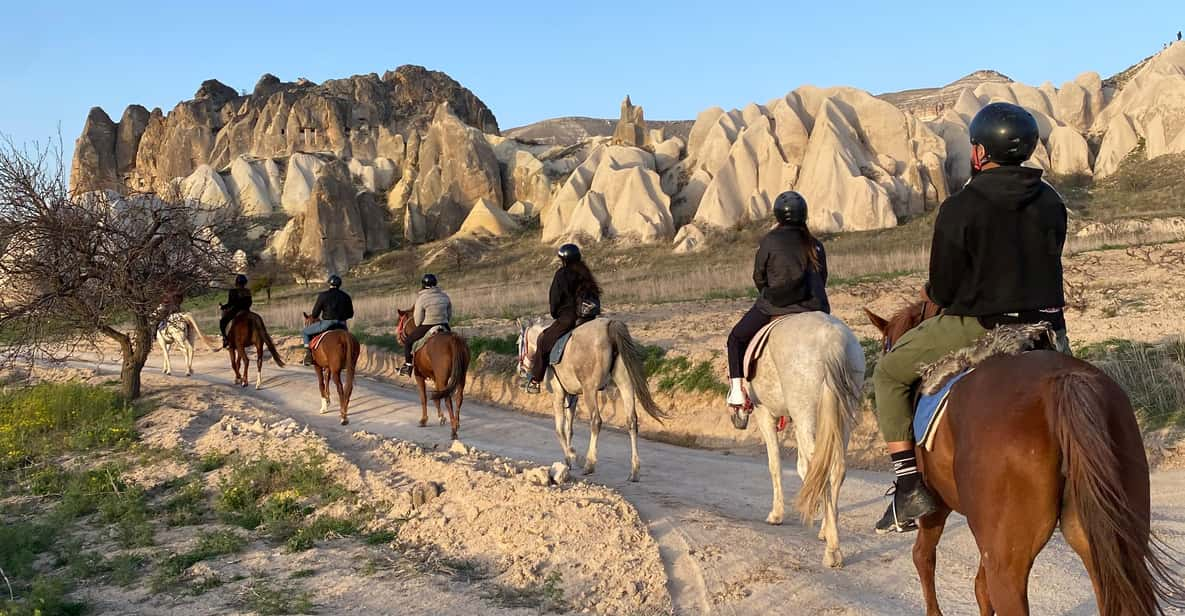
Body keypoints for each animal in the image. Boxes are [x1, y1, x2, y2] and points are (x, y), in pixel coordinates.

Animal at [398, 305, 471, 438]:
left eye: (399, 321)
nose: (398, 338)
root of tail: (453, 339)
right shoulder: (436, 377)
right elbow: (437, 397)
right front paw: (441, 417)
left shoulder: (419, 376)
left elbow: (424, 397)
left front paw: (424, 420)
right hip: (461, 376)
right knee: (458, 398)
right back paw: (456, 423)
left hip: (443, 378)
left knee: (447, 399)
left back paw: (453, 430)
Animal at [516, 317, 673, 480]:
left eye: (518, 343)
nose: (520, 370)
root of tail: (609, 325)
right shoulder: (572, 397)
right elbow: (569, 429)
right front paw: (569, 457)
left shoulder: (558, 394)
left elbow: (560, 429)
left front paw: (573, 457)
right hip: (625, 384)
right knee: (632, 421)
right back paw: (634, 471)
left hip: (589, 390)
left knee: (596, 421)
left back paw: (589, 464)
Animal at [739, 312, 862, 568]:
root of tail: (832, 339)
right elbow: (803, 467)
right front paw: (820, 515)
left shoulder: (765, 413)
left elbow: (775, 464)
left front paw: (777, 514)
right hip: (841, 417)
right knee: (836, 468)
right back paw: (828, 532)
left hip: (806, 414)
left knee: (822, 469)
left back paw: (833, 551)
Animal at [862, 302, 1185, 616]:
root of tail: (1061, 382)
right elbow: (979, 589)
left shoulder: (937, 508)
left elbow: (923, 558)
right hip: (1110, 541)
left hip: (1007, 562)